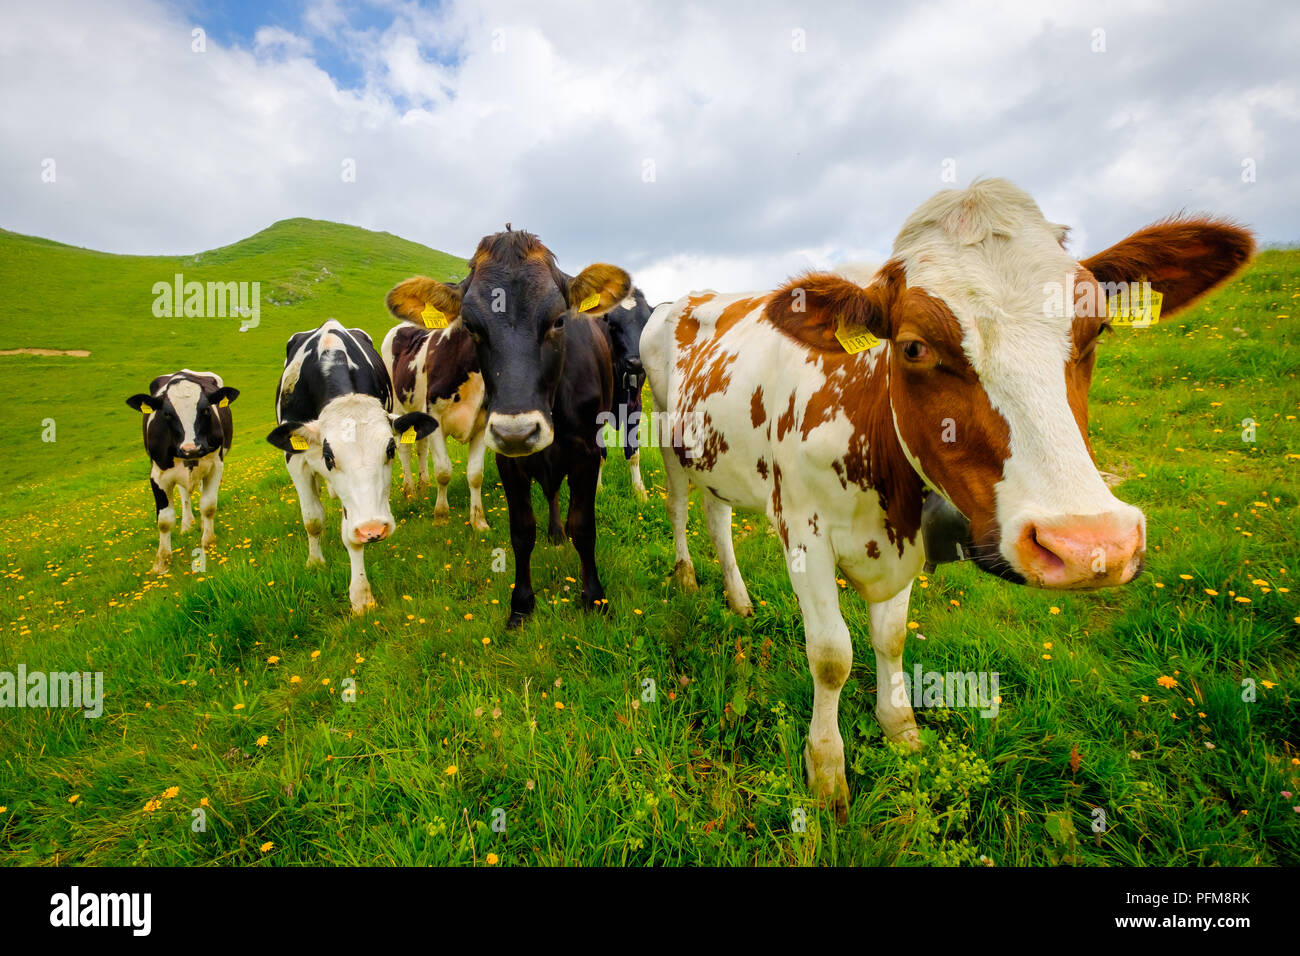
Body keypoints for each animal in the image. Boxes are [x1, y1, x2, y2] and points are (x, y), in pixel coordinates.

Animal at [126, 370, 239, 573]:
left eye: (206, 410)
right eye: (167, 414)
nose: (191, 449)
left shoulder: (216, 465)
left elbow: (208, 505)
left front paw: (208, 541)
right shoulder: (158, 475)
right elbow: (164, 520)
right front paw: (161, 562)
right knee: (184, 494)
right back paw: (187, 524)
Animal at [266, 319, 437, 613]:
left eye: (390, 449)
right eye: (329, 458)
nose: (374, 529)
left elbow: (350, 535)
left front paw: (360, 596)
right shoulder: (296, 460)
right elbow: (313, 519)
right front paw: (315, 562)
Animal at [380, 318, 490, 531]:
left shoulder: (481, 425)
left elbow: (476, 474)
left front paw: (479, 522)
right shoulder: (436, 419)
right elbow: (443, 471)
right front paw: (441, 516)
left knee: (421, 447)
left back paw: (424, 485)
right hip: (399, 408)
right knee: (404, 449)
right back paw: (410, 491)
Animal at [641, 178, 1254, 820]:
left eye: (1098, 330)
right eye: (913, 347)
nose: (1091, 544)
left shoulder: (905, 537)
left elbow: (889, 638)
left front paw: (901, 730)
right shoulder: (804, 532)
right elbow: (832, 656)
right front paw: (827, 772)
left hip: (718, 455)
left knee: (718, 516)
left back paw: (737, 598)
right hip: (666, 432)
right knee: (681, 507)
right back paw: (687, 575)